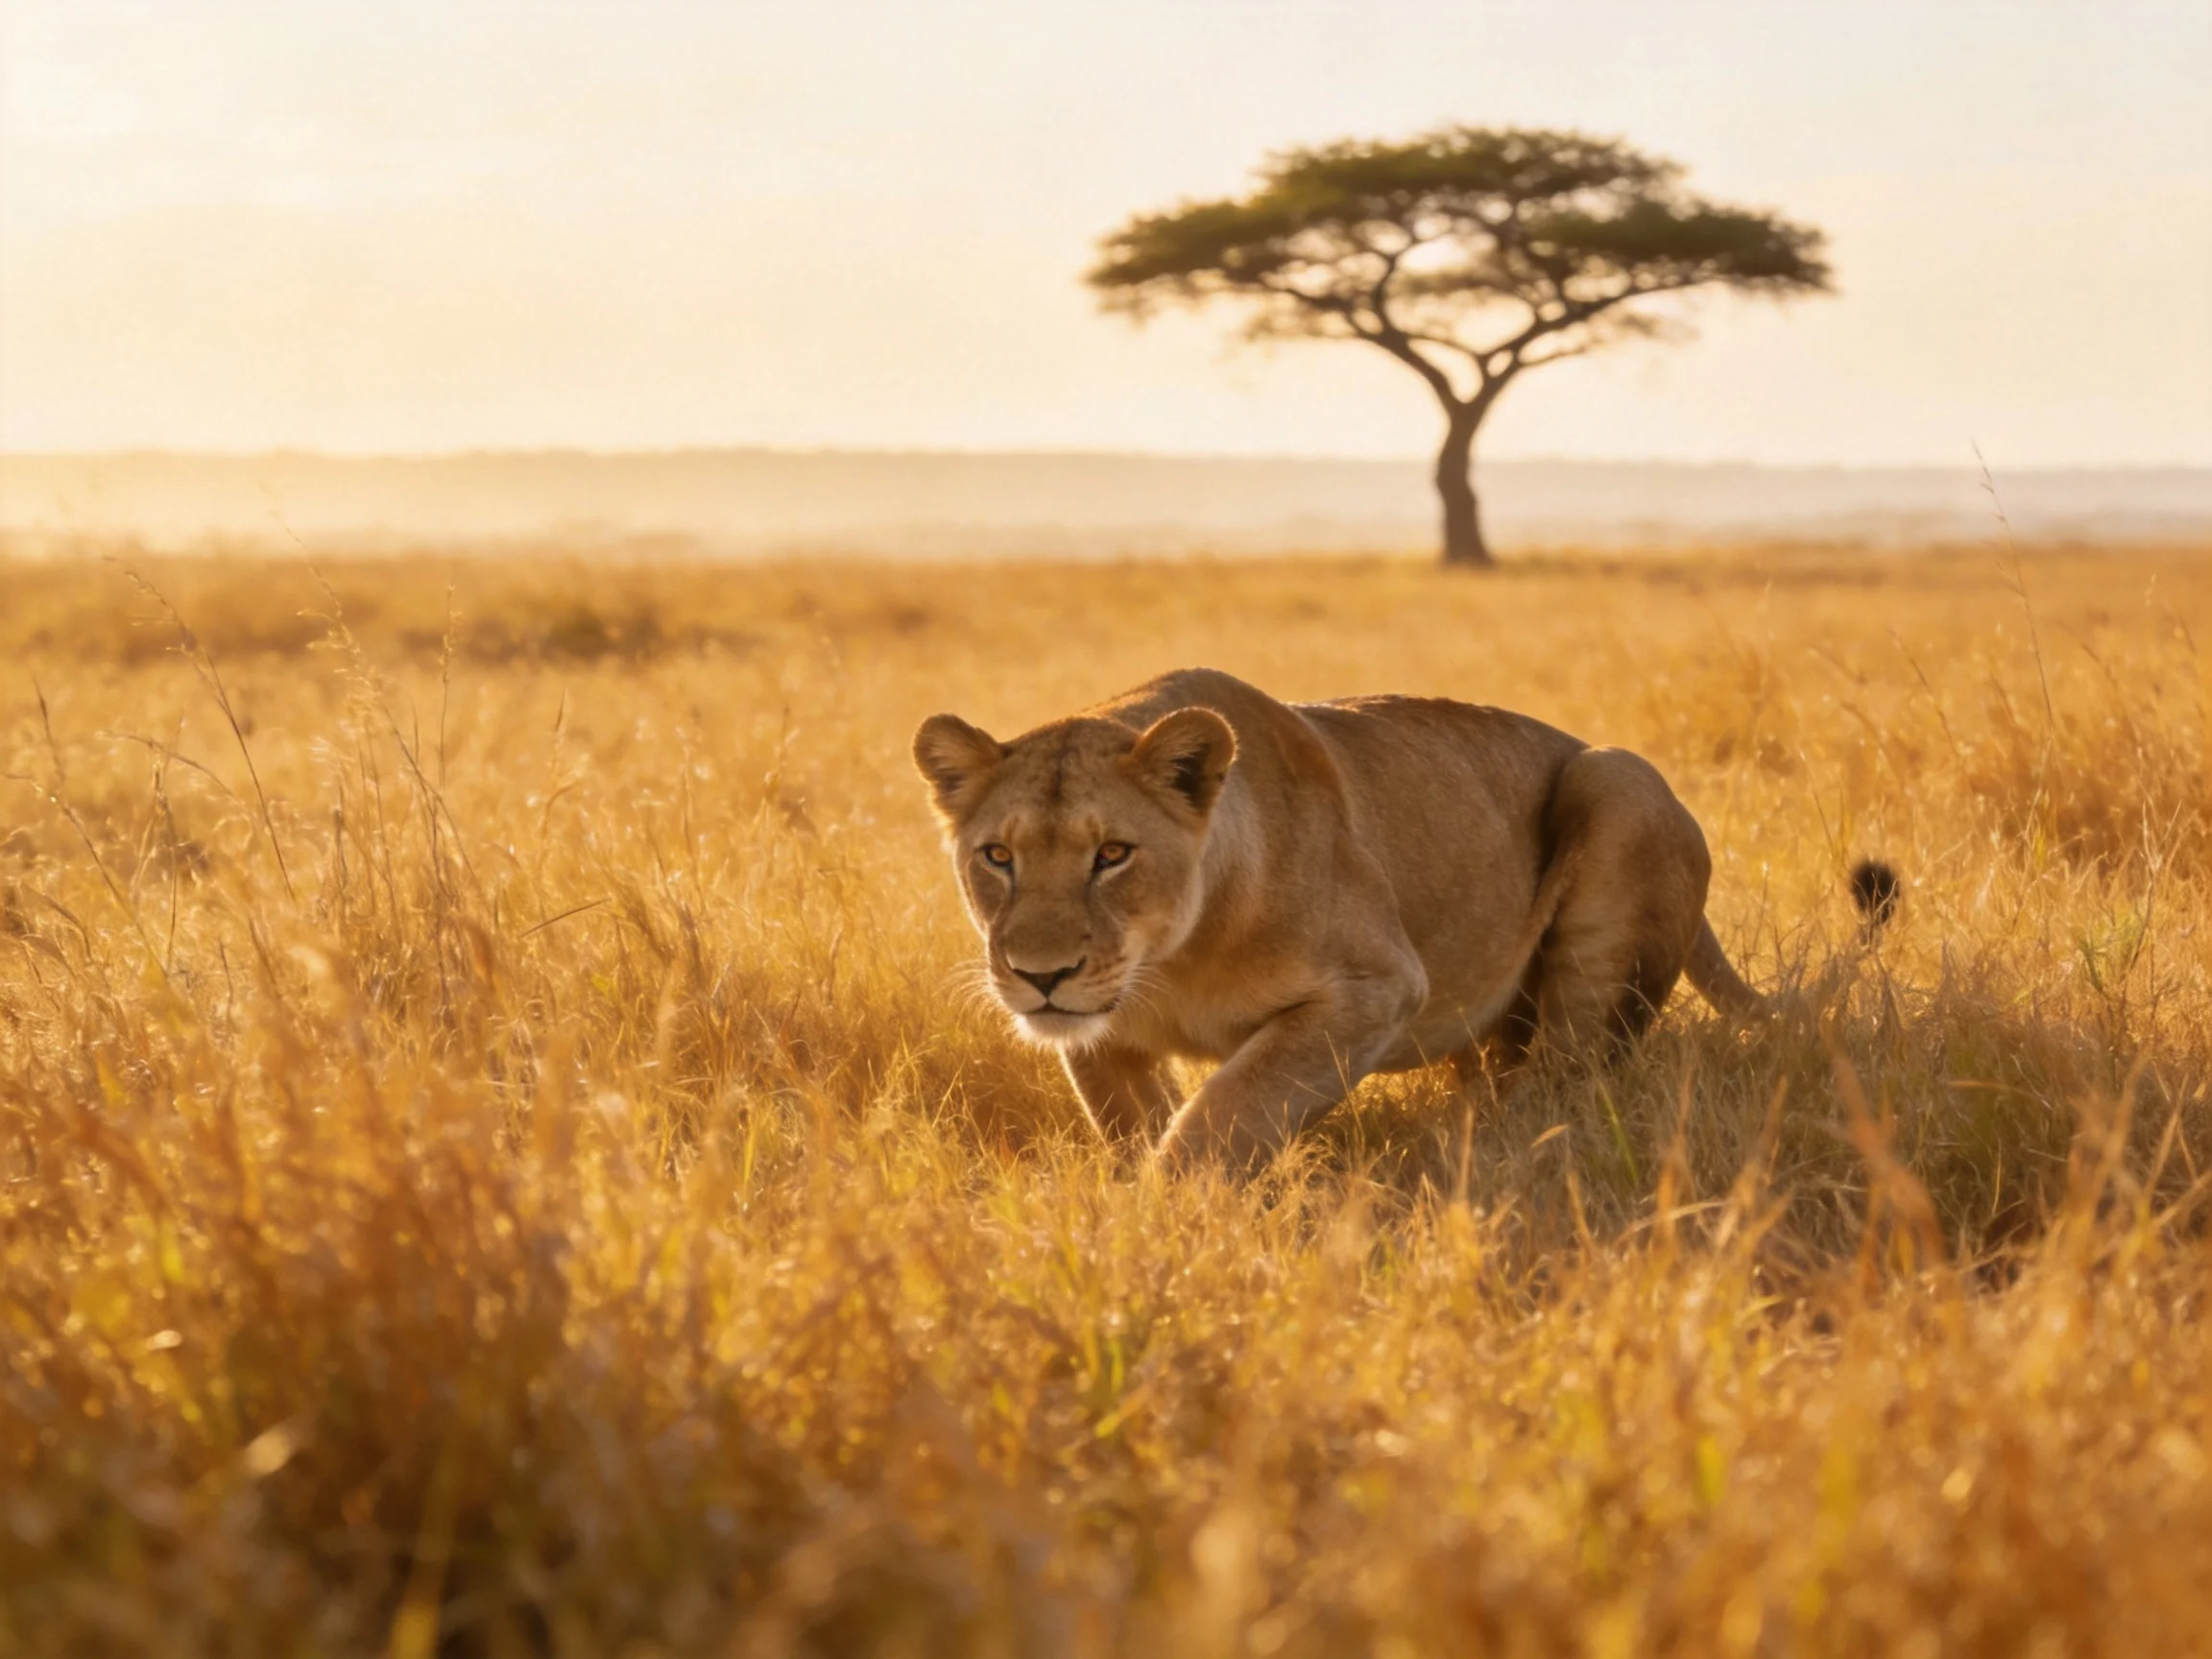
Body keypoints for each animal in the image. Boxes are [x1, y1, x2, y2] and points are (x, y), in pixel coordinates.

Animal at [914, 667, 1893, 1168]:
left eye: (1112, 854)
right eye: (997, 858)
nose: (1040, 975)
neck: (1171, 960)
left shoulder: (1376, 988)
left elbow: (1225, 1108)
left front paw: (1167, 1218)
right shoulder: (1100, 1037)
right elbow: (1131, 1121)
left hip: (1616, 783)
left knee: (1567, 1079)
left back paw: (1490, 1146)